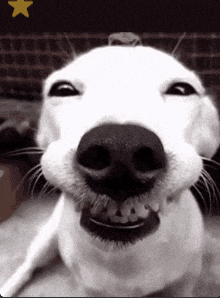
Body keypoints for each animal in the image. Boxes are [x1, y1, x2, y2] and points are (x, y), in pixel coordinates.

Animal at [0, 43, 219, 296]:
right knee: (28, 266)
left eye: (183, 89)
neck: (125, 259)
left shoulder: (183, 283)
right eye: (62, 89)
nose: (121, 150)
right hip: (45, 239)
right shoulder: (88, 288)